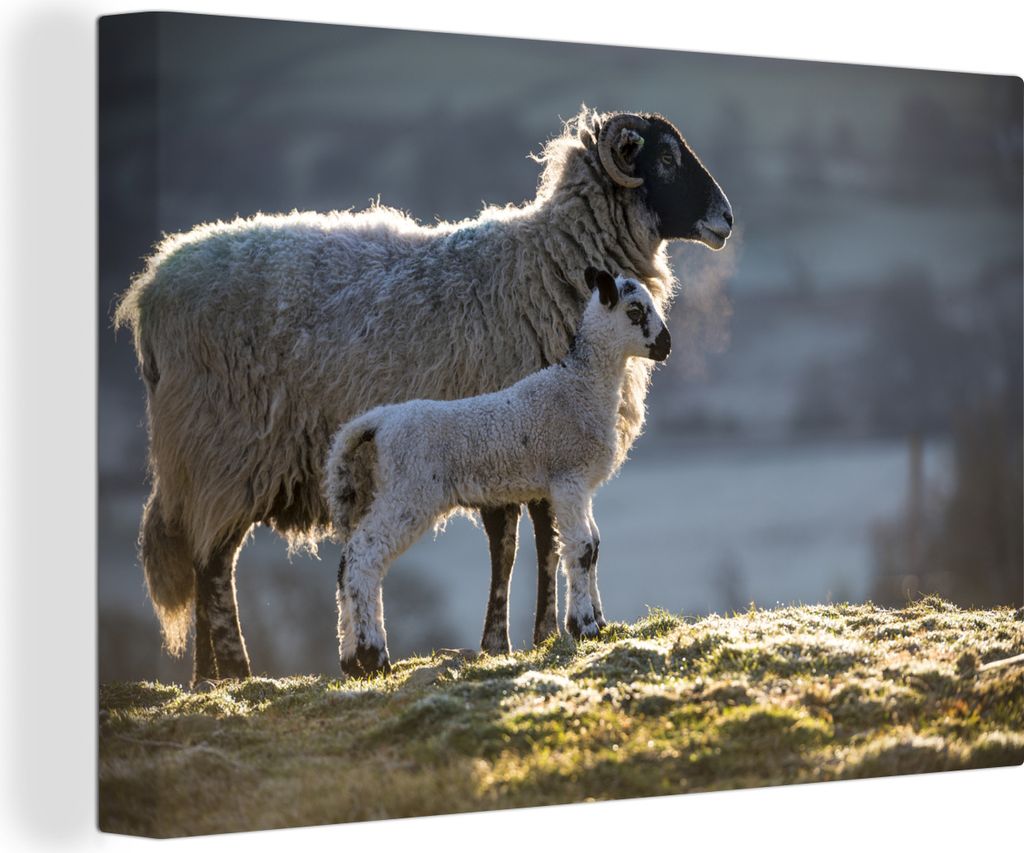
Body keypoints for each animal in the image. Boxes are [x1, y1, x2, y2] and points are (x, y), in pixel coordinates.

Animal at [327, 268, 671, 676]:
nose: (666, 346)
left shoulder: (581, 486)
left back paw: (352, 660)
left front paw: (600, 624)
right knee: (364, 557)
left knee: (348, 560)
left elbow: (595, 546)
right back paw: (374, 656)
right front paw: (584, 627)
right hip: (410, 491)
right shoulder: (567, 478)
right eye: (635, 311)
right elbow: (581, 548)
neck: (579, 387)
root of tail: (378, 422)